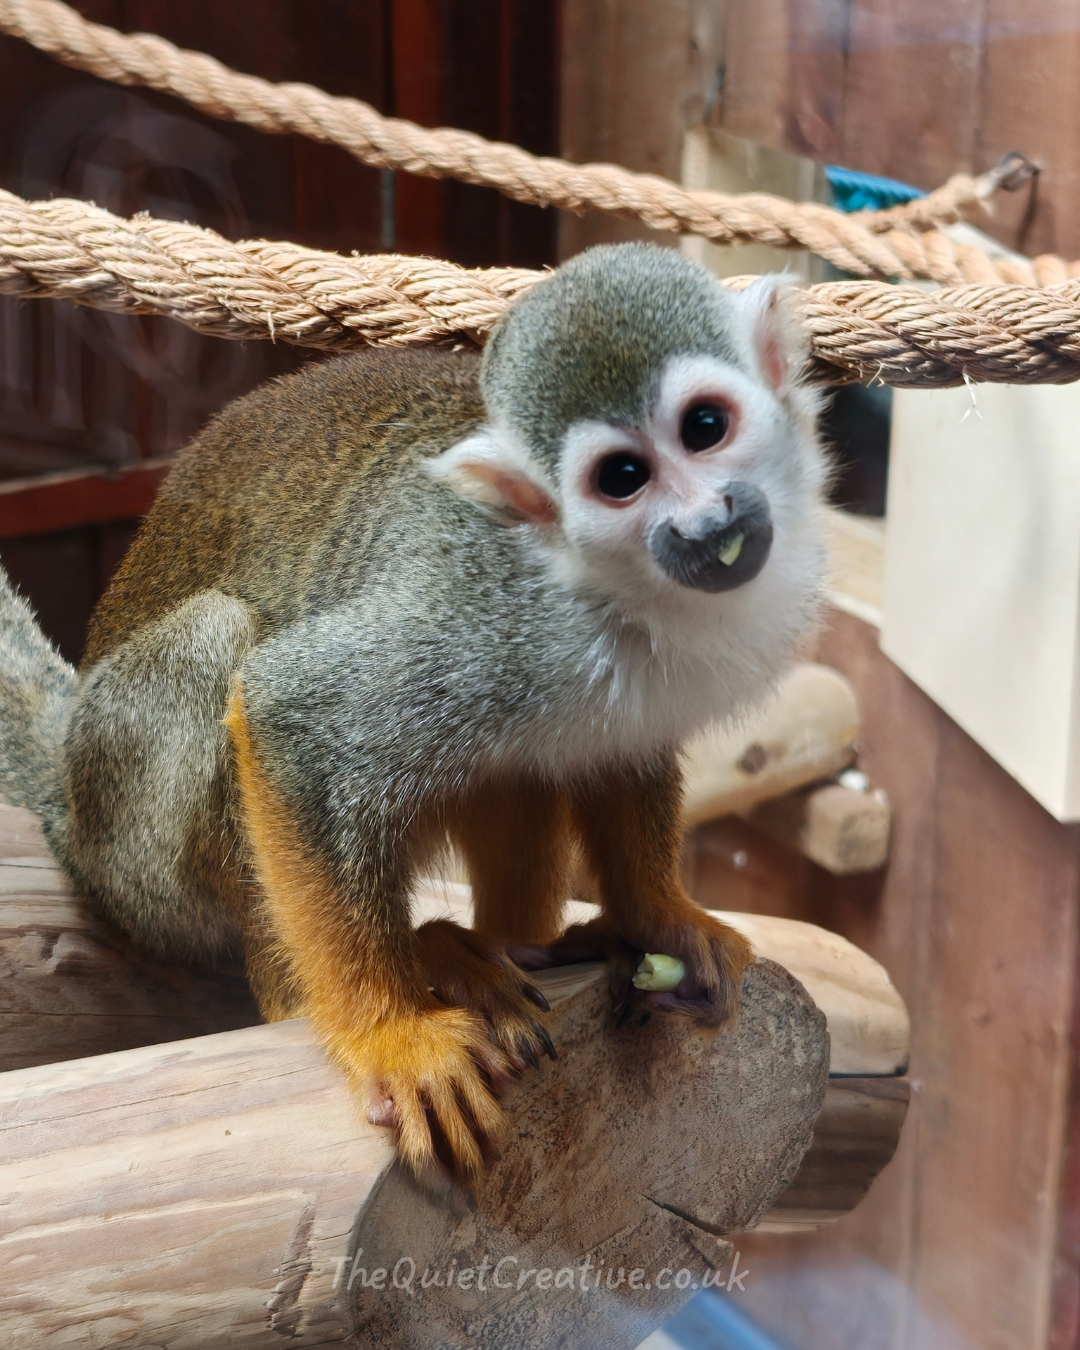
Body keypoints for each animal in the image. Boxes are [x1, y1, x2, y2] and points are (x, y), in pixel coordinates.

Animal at [0, 242, 827, 1180]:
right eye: (622, 479)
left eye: (704, 427)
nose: (706, 521)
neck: (618, 589)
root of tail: (71, 804)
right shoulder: (491, 621)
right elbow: (290, 708)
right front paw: (388, 1031)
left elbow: (620, 755)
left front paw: (661, 916)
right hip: (137, 862)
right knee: (221, 642)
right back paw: (344, 978)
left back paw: (512, 943)